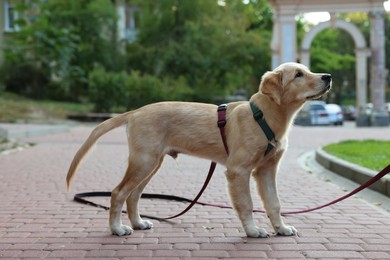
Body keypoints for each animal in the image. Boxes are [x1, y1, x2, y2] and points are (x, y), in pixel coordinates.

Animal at [67, 62, 332, 238]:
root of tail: (135, 112)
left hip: (152, 163)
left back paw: (138, 223)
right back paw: (117, 229)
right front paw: (253, 230)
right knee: (118, 192)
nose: (328, 76)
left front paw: (282, 228)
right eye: (298, 74)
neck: (265, 116)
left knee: (133, 195)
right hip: (144, 161)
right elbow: (246, 204)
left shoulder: (266, 170)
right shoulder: (239, 170)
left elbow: (274, 203)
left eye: (307, 70)